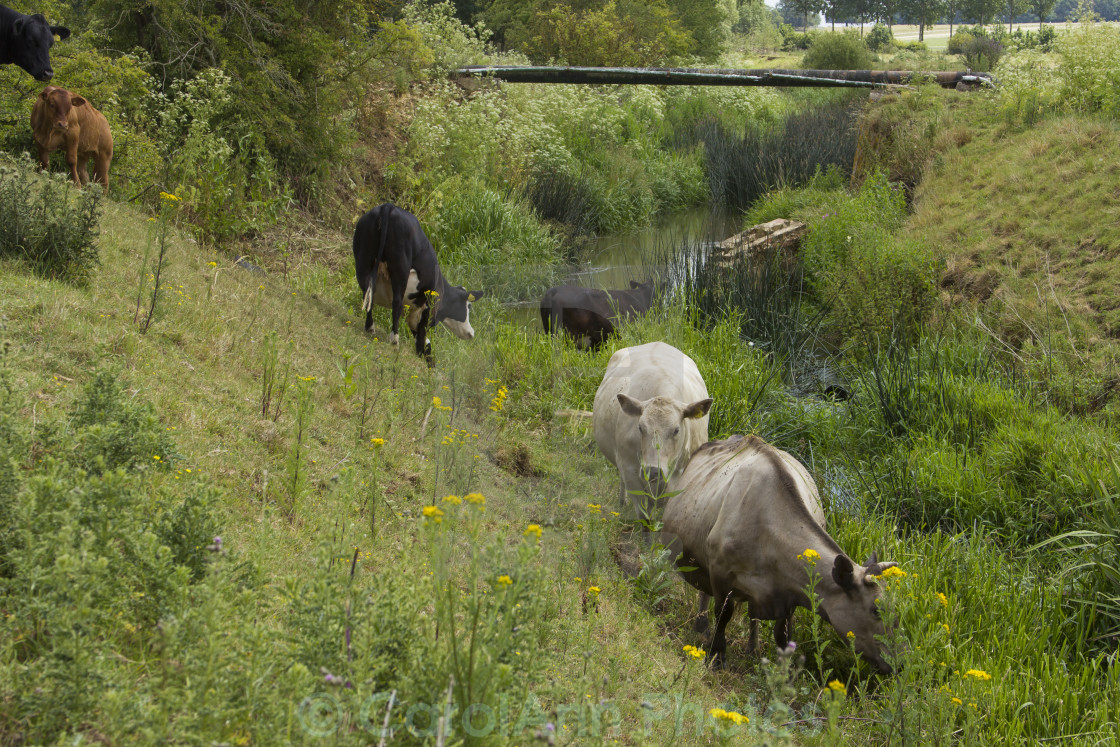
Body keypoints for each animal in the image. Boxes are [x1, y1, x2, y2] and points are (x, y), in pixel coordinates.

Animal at [351, 202, 483, 362]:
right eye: (468, 306)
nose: (471, 332)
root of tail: (388, 206)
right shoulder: (428, 307)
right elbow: (422, 335)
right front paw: (422, 354)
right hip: (400, 267)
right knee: (396, 303)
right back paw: (394, 339)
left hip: (364, 259)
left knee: (367, 293)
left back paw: (369, 327)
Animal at [663, 434, 900, 676]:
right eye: (876, 610)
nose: (898, 663)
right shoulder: (721, 572)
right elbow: (723, 614)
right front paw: (717, 656)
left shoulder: (790, 593)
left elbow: (783, 636)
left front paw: (784, 675)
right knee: (706, 592)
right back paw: (702, 627)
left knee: (752, 614)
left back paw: (753, 649)